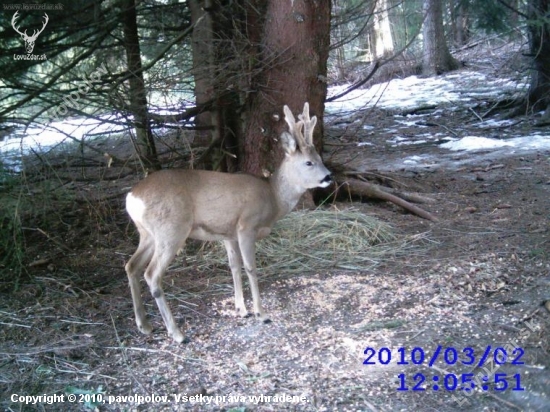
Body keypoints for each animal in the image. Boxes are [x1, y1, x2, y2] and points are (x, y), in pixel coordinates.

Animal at [125, 102, 332, 342]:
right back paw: (177, 333)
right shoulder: (246, 226)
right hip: (171, 230)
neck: (272, 196)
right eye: (309, 162)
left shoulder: (228, 234)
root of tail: (132, 197)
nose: (329, 176)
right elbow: (250, 267)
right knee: (152, 274)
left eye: (320, 159)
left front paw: (241, 309)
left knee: (131, 266)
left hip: (147, 233)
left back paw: (144, 325)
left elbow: (234, 266)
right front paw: (261, 313)